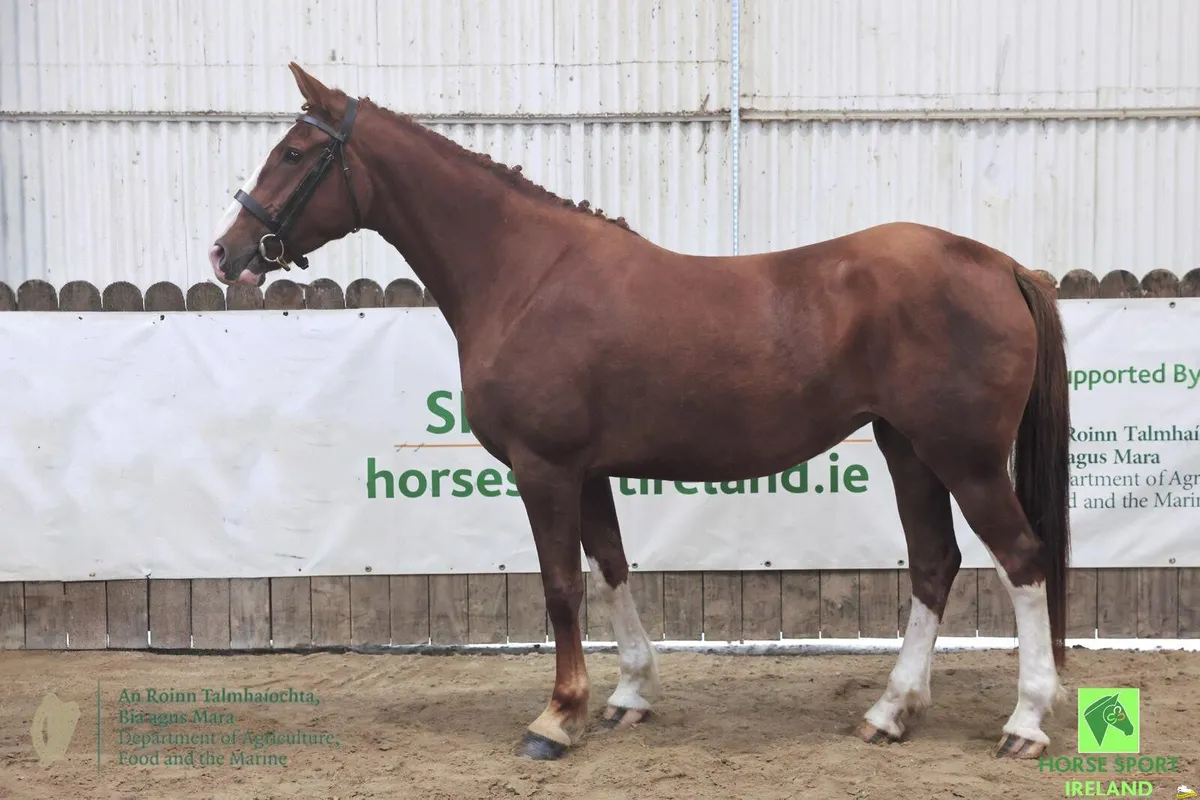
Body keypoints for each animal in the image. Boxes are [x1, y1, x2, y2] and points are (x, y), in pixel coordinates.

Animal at [208, 63, 1071, 761]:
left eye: (293, 154)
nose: (227, 251)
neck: (526, 275)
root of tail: (1001, 265)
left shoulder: (544, 468)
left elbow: (561, 585)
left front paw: (557, 718)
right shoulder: (586, 472)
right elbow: (612, 567)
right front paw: (627, 696)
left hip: (964, 458)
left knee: (1022, 560)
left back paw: (1024, 724)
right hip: (908, 451)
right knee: (934, 564)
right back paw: (890, 712)